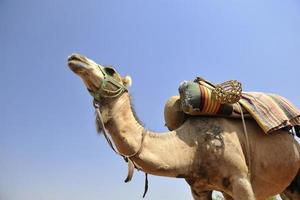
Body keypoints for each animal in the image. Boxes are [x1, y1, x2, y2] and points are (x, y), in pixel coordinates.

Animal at [67, 53, 300, 200]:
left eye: (111, 70)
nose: (75, 58)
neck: (192, 147)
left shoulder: (240, 179)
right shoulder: (200, 189)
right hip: (285, 186)